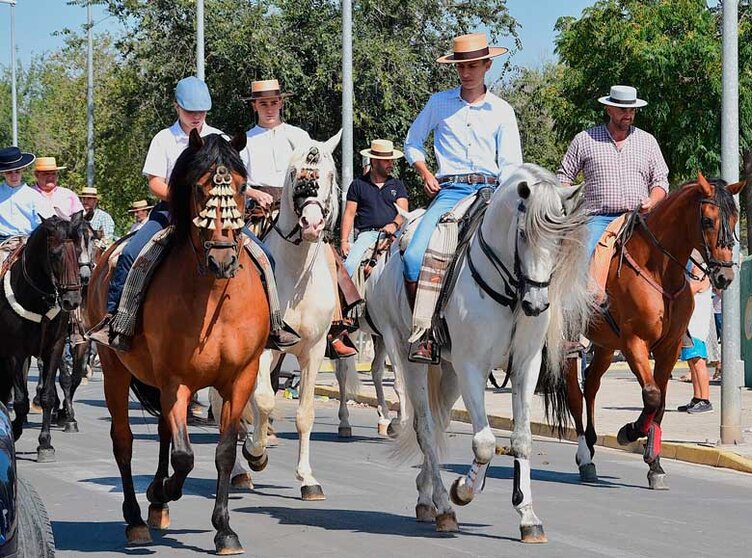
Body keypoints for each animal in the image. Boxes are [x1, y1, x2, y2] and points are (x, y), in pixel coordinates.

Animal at [86, 131, 268, 556]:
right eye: (201, 189)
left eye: (240, 187)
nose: (222, 260)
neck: (214, 297)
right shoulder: (176, 382)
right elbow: (185, 457)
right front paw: (165, 490)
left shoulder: (240, 379)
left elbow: (223, 452)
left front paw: (224, 530)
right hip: (114, 369)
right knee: (124, 441)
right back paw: (137, 518)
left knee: (163, 433)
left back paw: (157, 506)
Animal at [368, 165, 592, 544]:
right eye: (523, 234)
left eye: (559, 239)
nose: (537, 304)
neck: (510, 292)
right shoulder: (472, 366)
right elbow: (485, 443)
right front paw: (462, 490)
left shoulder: (525, 367)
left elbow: (521, 439)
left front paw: (528, 517)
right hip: (411, 358)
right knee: (425, 427)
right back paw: (443, 506)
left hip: (449, 372)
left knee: (439, 423)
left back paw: (426, 497)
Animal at [568, 174, 744, 490]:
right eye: (708, 220)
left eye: (735, 218)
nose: (724, 276)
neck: (659, 272)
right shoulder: (633, 342)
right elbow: (650, 395)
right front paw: (629, 431)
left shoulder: (669, 347)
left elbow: (659, 402)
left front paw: (655, 464)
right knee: (574, 393)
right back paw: (585, 457)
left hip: (604, 345)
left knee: (592, 384)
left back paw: (591, 444)